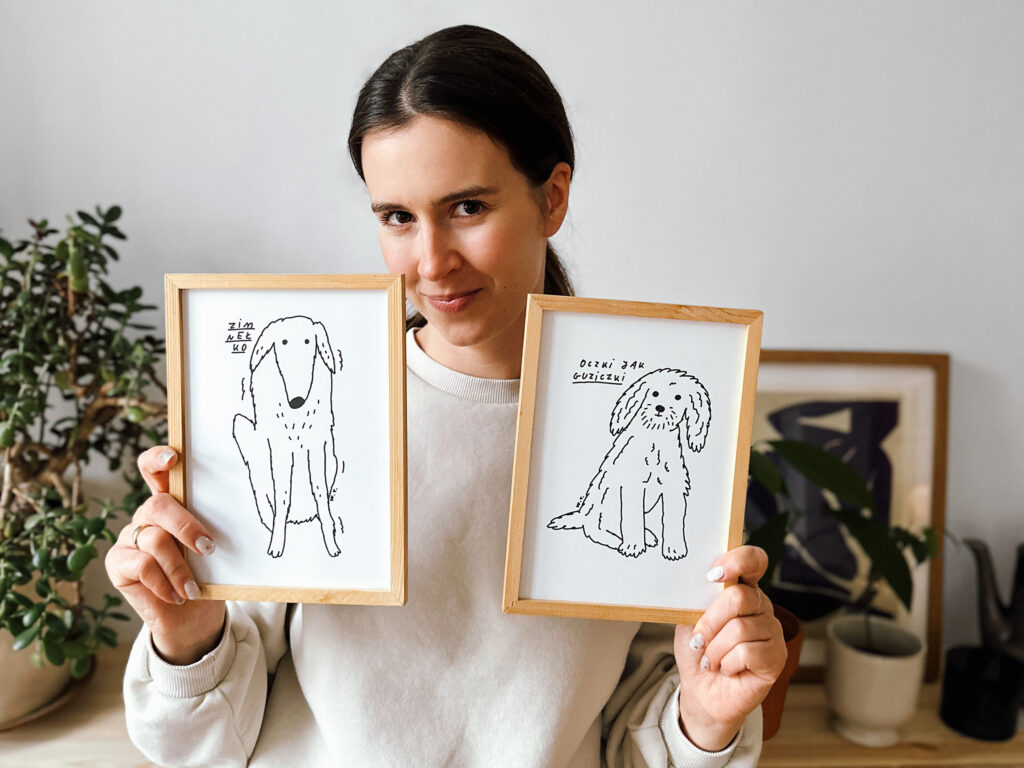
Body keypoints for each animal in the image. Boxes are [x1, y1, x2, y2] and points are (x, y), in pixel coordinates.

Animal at [232, 315, 342, 558]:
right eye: (282, 342)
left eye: (308, 341)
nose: (297, 401)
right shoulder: (279, 449)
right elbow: (282, 498)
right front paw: (276, 544)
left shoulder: (317, 445)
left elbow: (320, 493)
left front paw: (331, 543)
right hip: (241, 427)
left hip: (333, 458)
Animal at [548, 367, 711, 560]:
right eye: (654, 393)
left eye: (678, 397)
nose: (660, 408)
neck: (655, 437)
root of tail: (584, 515)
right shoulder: (631, 487)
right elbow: (632, 519)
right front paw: (633, 546)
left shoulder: (674, 489)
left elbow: (674, 521)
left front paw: (674, 549)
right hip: (605, 498)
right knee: (597, 529)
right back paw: (620, 540)